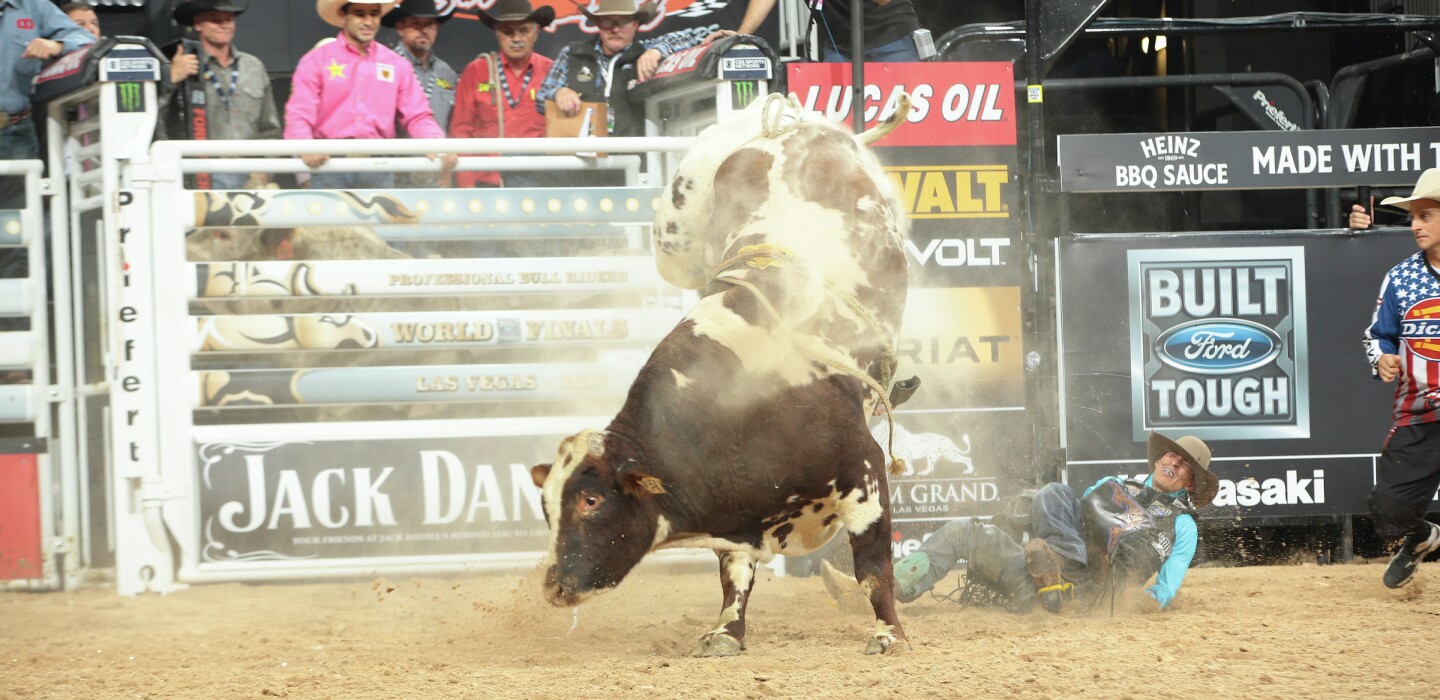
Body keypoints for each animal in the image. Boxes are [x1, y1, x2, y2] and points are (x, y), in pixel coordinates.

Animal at [531, 93, 912, 657]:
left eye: (591, 499)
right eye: (546, 506)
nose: (554, 587)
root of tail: (778, 130)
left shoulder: (862, 467)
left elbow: (872, 567)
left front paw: (888, 633)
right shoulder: (737, 523)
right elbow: (736, 576)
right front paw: (726, 632)